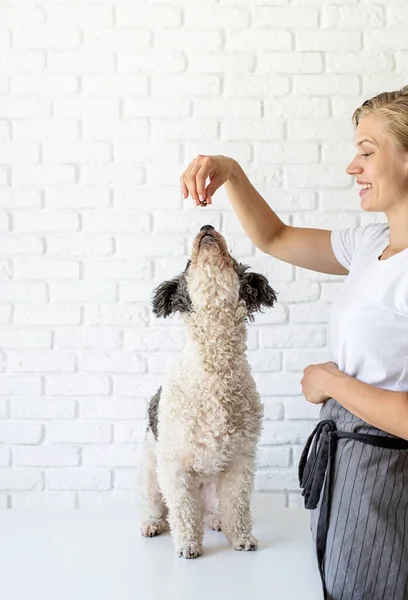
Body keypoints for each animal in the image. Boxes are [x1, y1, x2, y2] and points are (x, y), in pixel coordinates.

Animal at [140, 225, 278, 556]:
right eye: (188, 264)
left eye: (233, 259)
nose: (206, 227)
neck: (214, 371)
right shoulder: (174, 465)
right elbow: (181, 511)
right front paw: (188, 544)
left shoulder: (241, 461)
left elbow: (237, 507)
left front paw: (241, 538)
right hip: (150, 475)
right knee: (162, 508)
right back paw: (153, 524)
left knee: (219, 510)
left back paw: (217, 521)